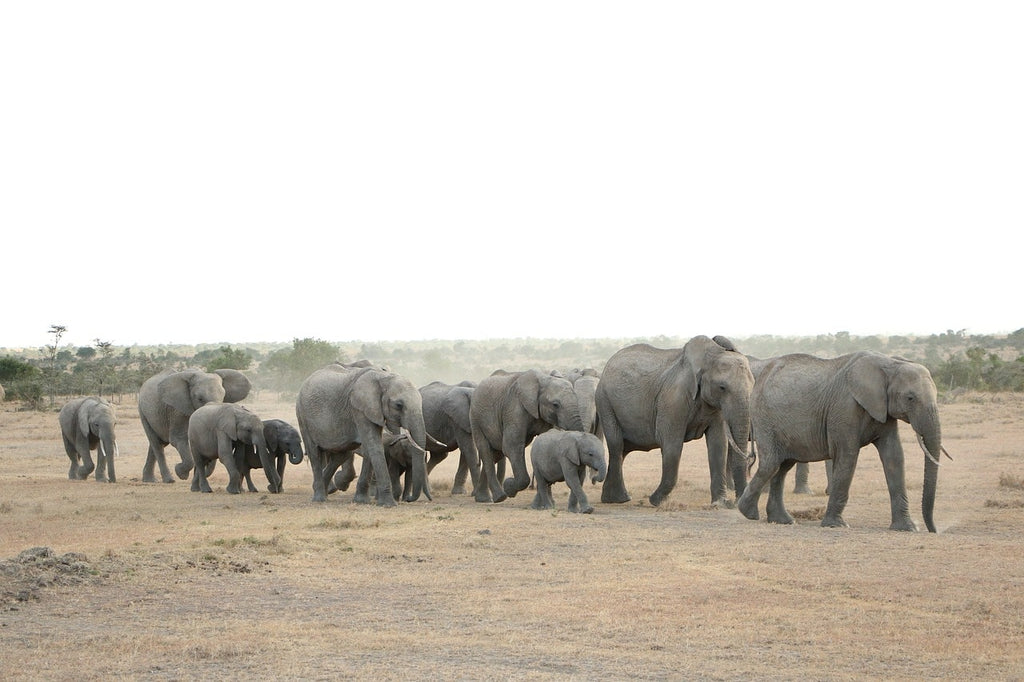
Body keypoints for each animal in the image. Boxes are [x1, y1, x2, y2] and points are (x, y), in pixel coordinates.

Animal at [294, 364, 430, 501]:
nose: (408, 499)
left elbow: (371, 447)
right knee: (314, 453)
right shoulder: (359, 408)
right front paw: (387, 502)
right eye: (398, 405)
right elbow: (374, 445)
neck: (383, 377)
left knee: (342, 455)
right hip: (302, 415)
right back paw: (320, 498)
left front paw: (362, 500)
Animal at [468, 366, 585, 503]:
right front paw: (509, 487)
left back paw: (482, 498)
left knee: (495, 454)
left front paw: (549, 502)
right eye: (555, 405)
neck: (543, 379)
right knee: (486, 451)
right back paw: (499, 497)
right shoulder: (514, 408)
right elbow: (511, 446)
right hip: (476, 419)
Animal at [598, 333, 757, 503]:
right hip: (605, 402)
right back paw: (620, 499)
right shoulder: (673, 400)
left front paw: (720, 503)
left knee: (623, 449)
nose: (737, 500)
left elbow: (718, 445)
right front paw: (655, 501)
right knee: (616, 445)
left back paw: (614, 498)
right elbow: (672, 445)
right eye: (722, 387)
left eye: (753, 385)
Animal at [741, 350, 946, 532]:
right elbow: (847, 456)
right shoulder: (845, 408)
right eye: (910, 398)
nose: (933, 530)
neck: (890, 363)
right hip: (764, 418)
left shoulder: (883, 410)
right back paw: (748, 512)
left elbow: (894, 456)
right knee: (771, 464)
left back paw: (782, 520)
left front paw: (908, 528)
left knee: (782, 467)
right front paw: (836, 525)